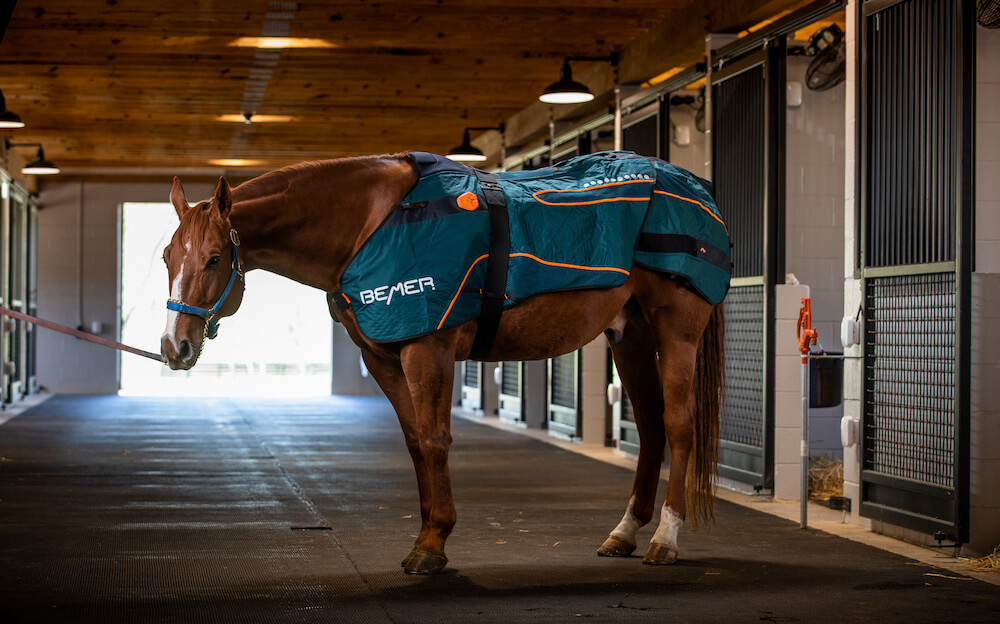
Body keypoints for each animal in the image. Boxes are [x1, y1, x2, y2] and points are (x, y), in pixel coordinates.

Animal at [164, 156, 728, 576]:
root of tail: (697, 189)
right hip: (628, 336)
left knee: (679, 427)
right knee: (651, 430)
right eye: (169, 257)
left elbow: (436, 440)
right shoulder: (384, 359)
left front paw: (433, 546)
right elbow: (416, 443)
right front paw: (426, 533)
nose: (174, 347)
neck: (370, 223)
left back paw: (665, 539)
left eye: (214, 259)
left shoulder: (426, 349)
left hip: (676, 331)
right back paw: (624, 533)